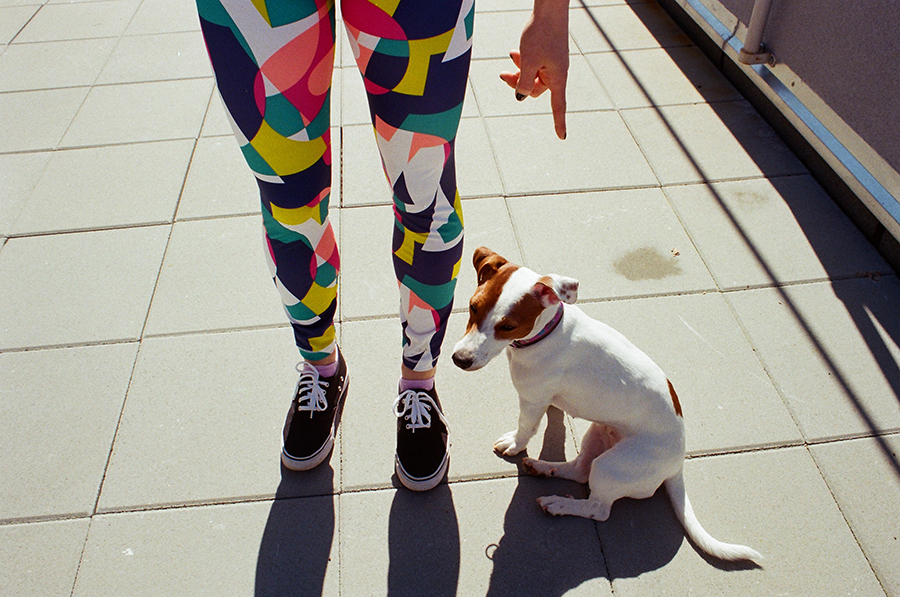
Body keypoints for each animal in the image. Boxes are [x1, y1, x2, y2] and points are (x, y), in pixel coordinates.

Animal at [452, 247, 762, 564]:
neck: (547, 333)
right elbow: (554, 415)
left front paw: (514, 444)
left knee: (599, 508)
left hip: (613, 466)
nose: (459, 360)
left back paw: (558, 504)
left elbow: (526, 427)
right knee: (579, 470)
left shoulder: (531, 399)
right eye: (473, 307)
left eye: (508, 326)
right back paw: (543, 467)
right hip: (597, 433)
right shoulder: (545, 399)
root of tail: (677, 465)